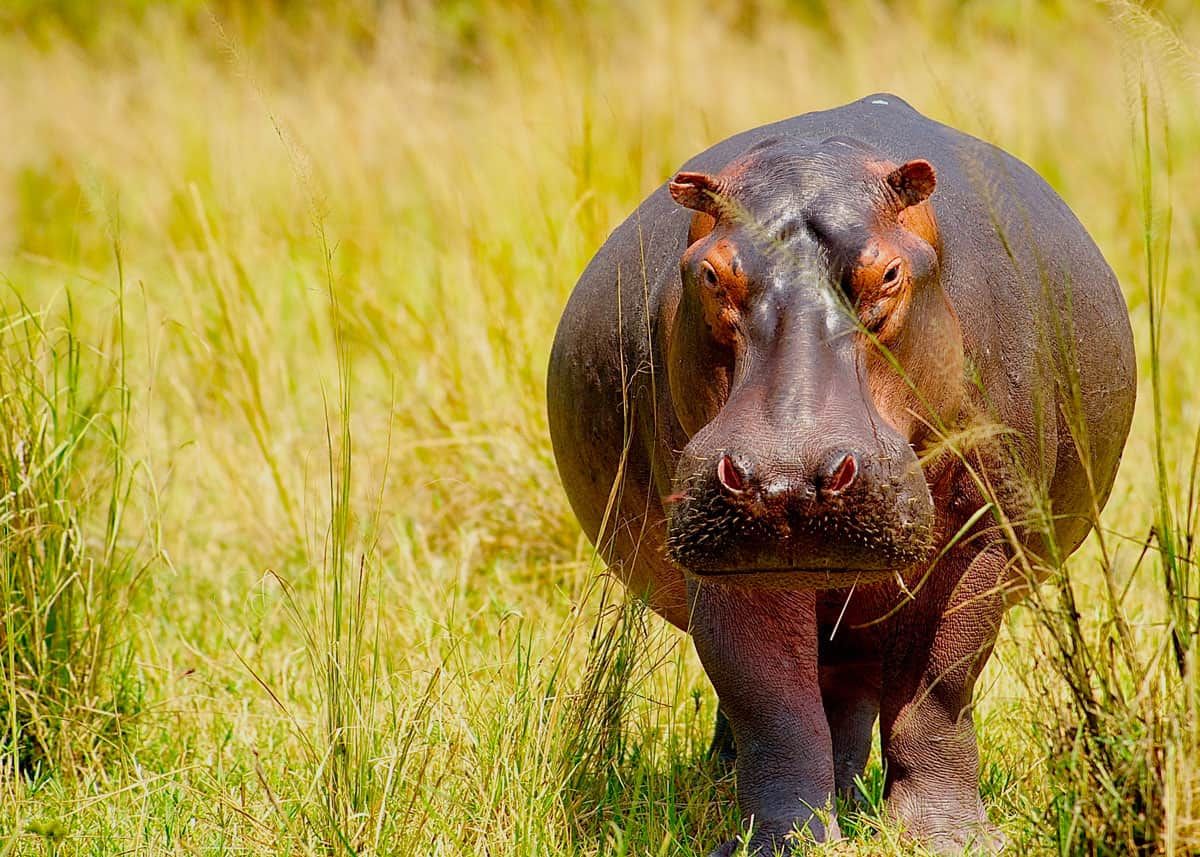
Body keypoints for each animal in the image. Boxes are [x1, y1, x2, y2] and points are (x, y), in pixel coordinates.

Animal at [546, 94, 1135, 854]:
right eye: (709, 274)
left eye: (889, 275)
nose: (787, 477)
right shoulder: (735, 564)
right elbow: (769, 702)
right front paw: (781, 842)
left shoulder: (982, 531)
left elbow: (939, 686)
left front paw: (949, 839)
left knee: (852, 691)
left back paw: (854, 805)